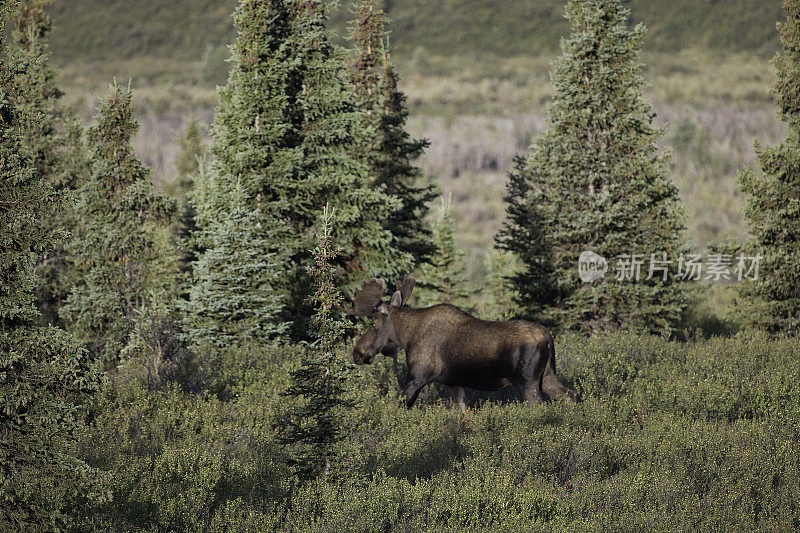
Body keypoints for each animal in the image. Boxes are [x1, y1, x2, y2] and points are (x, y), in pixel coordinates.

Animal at [344, 276, 576, 410]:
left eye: (373, 324)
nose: (358, 353)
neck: (406, 336)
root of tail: (548, 339)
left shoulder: (417, 377)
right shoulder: (455, 383)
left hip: (526, 383)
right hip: (547, 376)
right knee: (571, 395)